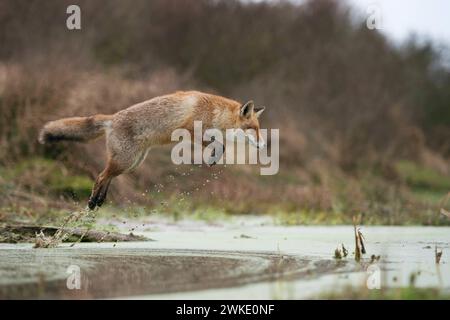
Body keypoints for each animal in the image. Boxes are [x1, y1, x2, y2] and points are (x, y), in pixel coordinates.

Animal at [38, 90, 266, 210]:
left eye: (258, 129)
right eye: (252, 129)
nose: (264, 144)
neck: (215, 112)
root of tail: (112, 118)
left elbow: (220, 143)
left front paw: (214, 157)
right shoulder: (191, 130)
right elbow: (219, 143)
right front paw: (213, 155)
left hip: (131, 163)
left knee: (107, 176)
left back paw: (100, 200)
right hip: (125, 161)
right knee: (100, 176)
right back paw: (93, 201)